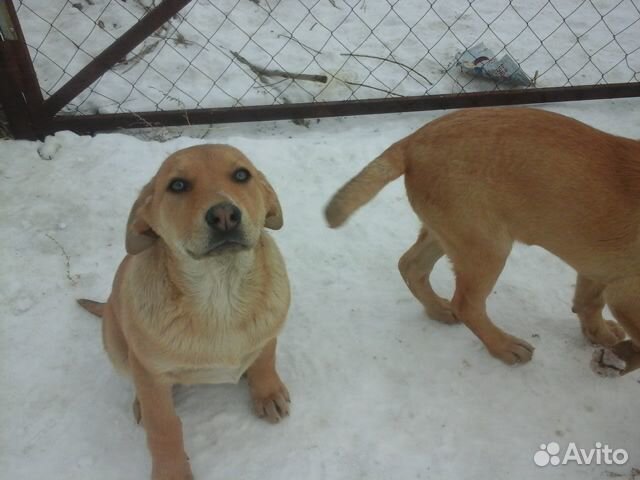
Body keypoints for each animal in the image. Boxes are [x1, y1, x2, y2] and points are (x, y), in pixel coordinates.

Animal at [78, 144, 292, 480]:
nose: (224, 215)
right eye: (177, 185)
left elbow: (265, 359)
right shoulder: (151, 372)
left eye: (241, 175)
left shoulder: (268, 333)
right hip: (116, 342)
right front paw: (171, 471)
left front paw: (267, 392)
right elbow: (163, 427)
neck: (220, 292)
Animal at [324, 108, 640, 364]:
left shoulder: (600, 270)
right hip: (487, 248)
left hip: (450, 234)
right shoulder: (626, 292)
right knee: (467, 305)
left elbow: (589, 302)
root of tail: (414, 141)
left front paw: (600, 335)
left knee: (410, 265)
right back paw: (503, 346)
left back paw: (438, 310)